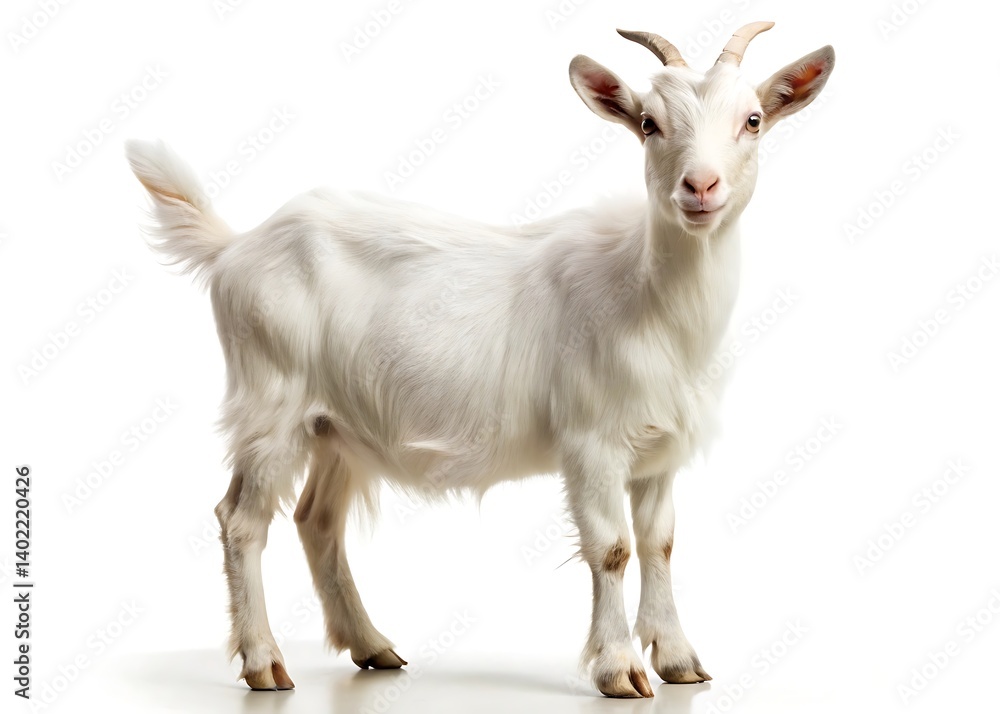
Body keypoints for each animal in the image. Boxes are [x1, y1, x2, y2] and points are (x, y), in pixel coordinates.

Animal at [126, 22, 833, 698]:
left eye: (753, 120)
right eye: (648, 124)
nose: (700, 186)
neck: (646, 297)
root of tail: (235, 247)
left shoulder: (658, 447)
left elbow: (659, 543)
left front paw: (680, 660)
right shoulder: (591, 440)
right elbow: (612, 548)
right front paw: (619, 670)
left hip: (336, 425)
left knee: (316, 520)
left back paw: (371, 646)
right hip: (272, 401)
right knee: (241, 521)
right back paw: (264, 662)